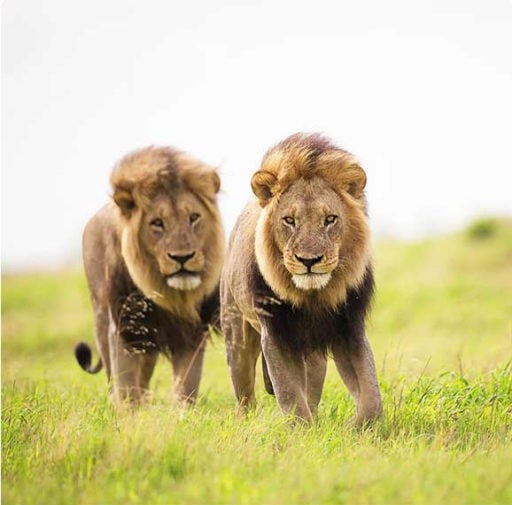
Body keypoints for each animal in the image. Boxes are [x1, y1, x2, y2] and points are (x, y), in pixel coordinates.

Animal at [74, 146, 224, 406]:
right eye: (157, 223)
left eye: (194, 217)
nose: (182, 257)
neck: (169, 293)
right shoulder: (125, 326)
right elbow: (125, 384)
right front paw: (127, 413)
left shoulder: (191, 332)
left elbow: (187, 385)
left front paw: (183, 413)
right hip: (103, 319)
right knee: (113, 375)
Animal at [219, 132, 380, 424]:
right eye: (289, 220)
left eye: (330, 219)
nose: (309, 260)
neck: (314, 297)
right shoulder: (276, 333)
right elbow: (291, 395)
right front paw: (302, 430)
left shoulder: (349, 329)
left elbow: (371, 396)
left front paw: (357, 426)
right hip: (236, 334)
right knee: (244, 391)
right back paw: (246, 419)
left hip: (313, 354)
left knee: (312, 386)